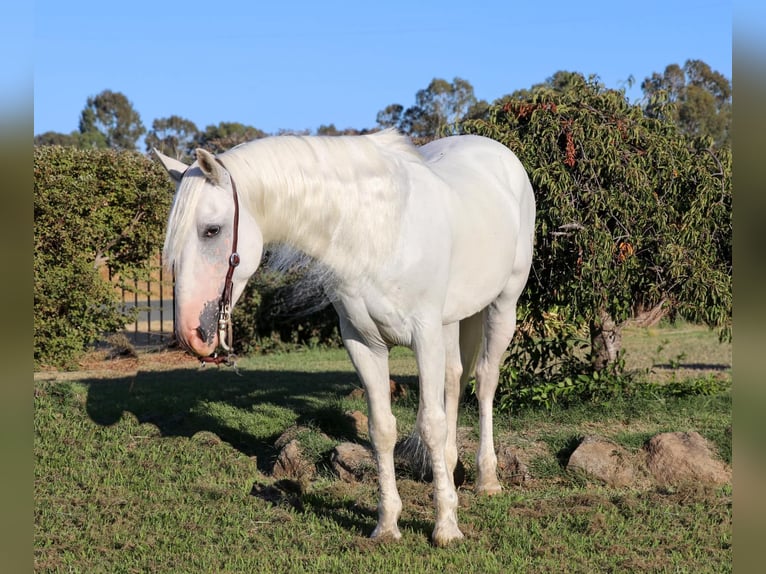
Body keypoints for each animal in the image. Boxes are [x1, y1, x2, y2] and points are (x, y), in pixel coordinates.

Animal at [156, 129, 535, 546]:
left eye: (212, 230)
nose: (191, 332)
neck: (375, 230)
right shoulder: (364, 343)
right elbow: (382, 429)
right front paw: (387, 524)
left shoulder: (425, 337)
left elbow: (430, 426)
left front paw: (446, 527)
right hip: (454, 321)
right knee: (455, 379)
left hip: (503, 306)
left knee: (484, 382)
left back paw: (488, 479)